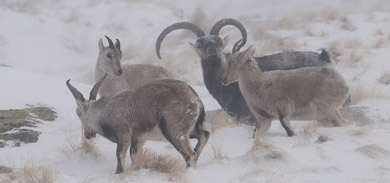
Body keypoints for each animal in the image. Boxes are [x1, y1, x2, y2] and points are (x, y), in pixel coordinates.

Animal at [67, 74, 210, 174]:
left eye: (78, 113)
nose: (88, 135)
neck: (104, 111)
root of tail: (196, 99)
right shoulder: (139, 138)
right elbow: (134, 156)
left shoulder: (123, 133)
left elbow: (120, 154)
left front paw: (118, 173)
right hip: (190, 130)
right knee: (204, 135)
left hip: (174, 130)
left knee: (190, 155)